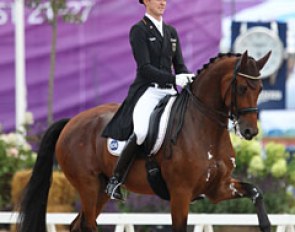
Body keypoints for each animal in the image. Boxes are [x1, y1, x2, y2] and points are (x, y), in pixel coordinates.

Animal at [17, 51, 272, 232]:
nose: (250, 131)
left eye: (260, 88)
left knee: (78, 225)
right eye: (242, 88)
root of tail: (72, 121)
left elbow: (257, 191)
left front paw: (265, 224)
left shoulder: (218, 188)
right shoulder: (180, 193)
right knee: (88, 224)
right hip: (87, 185)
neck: (205, 130)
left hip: (101, 189)